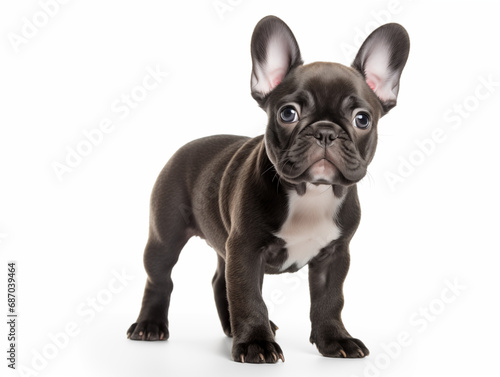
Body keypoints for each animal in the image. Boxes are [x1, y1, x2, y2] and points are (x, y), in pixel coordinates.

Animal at [128, 16, 410, 362]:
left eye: (362, 119)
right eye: (288, 113)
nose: (325, 132)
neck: (310, 193)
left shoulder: (334, 255)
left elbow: (330, 300)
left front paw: (335, 340)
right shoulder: (246, 250)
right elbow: (249, 296)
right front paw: (255, 344)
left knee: (220, 280)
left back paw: (230, 327)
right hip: (165, 235)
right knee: (160, 278)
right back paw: (150, 325)